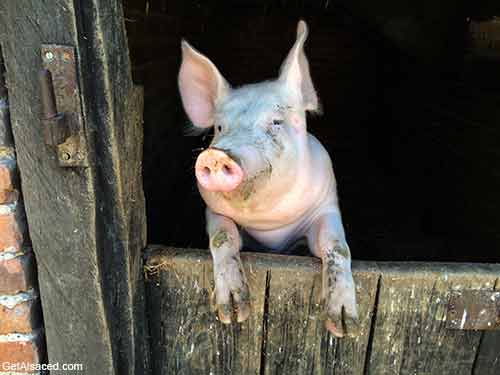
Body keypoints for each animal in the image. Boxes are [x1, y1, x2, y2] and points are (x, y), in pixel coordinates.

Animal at [178, 19, 358, 338]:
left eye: (276, 122)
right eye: (220, 127)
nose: (216, 155)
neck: (269, 224)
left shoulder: (325, 206)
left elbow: (336, 246)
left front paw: (345, 326)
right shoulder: (213, 211)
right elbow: (223, 237)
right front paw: (233, 313)